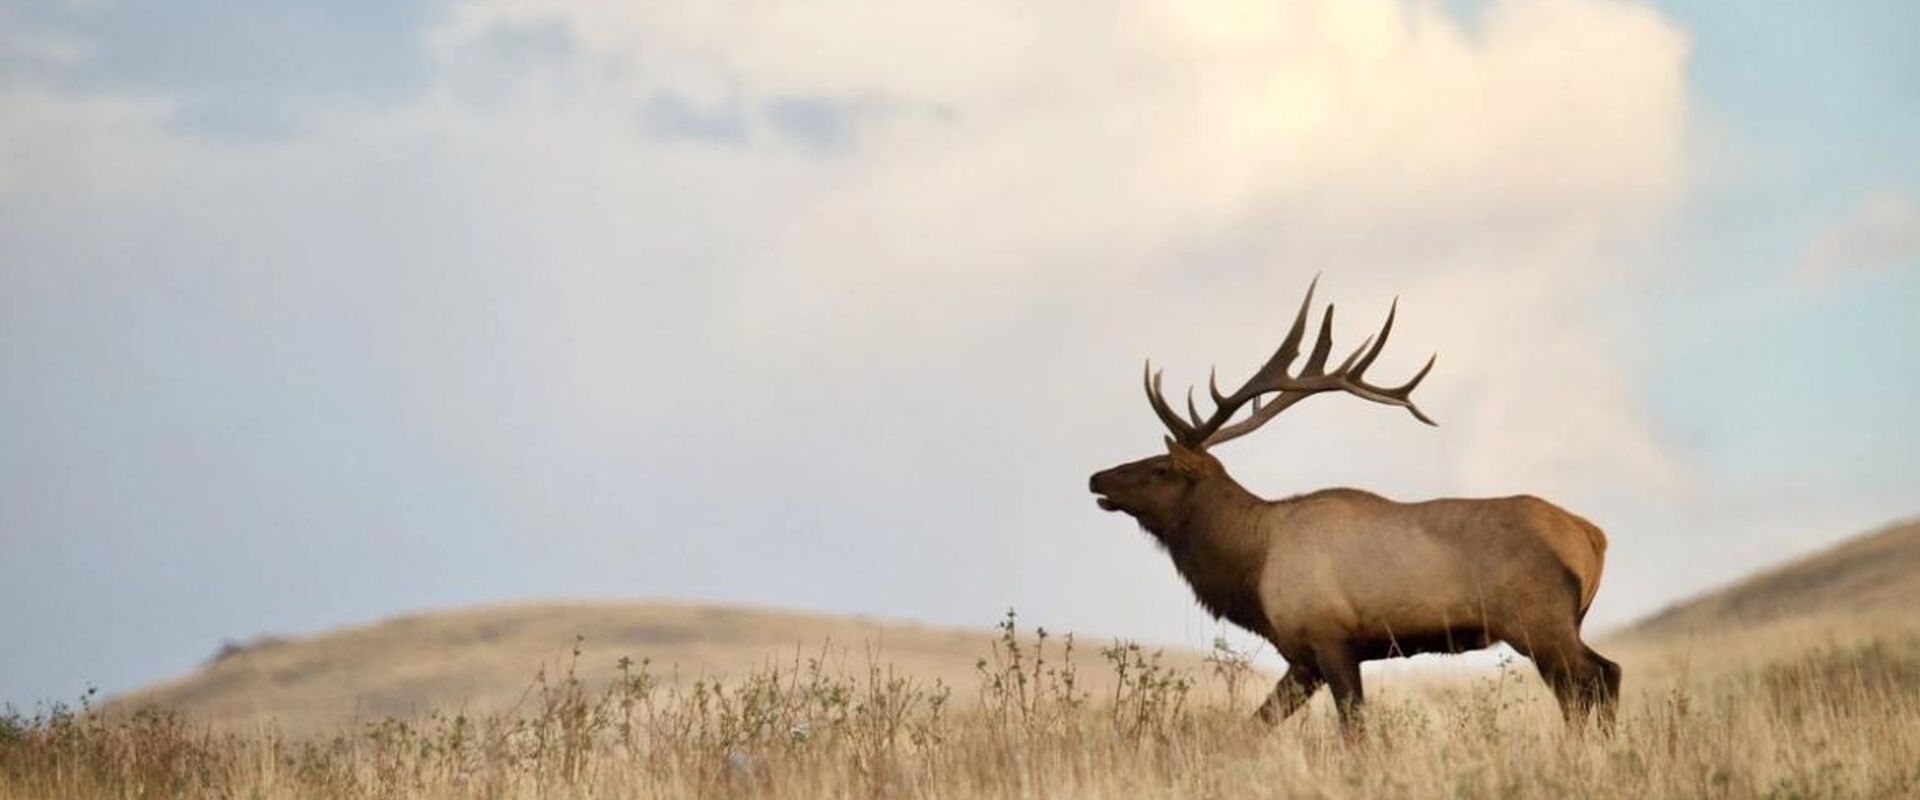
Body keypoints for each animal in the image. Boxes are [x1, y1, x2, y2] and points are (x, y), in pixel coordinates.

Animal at [1088, 277, 1620, 731]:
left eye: (1160, 467)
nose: (1097, 477)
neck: (1252, 568)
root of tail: (1593, 536)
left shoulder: (1329, 638)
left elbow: (1353, 731)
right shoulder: (1303, 657)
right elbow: (1253, 728)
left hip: (1539, 620)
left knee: (1596, 679)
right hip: (1557, 624)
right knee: (1591, 683)